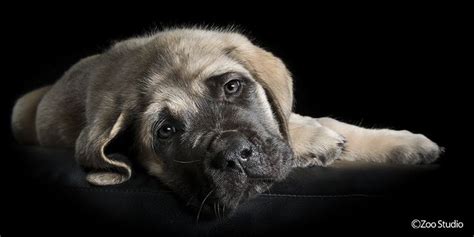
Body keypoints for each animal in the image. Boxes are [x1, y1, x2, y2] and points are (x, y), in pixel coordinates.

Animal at [10, 27, 440, 217]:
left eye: (233, 87)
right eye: (166, 130)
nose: (233, 156)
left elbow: (306, 122)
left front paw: (404, 145)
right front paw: (317, 142)